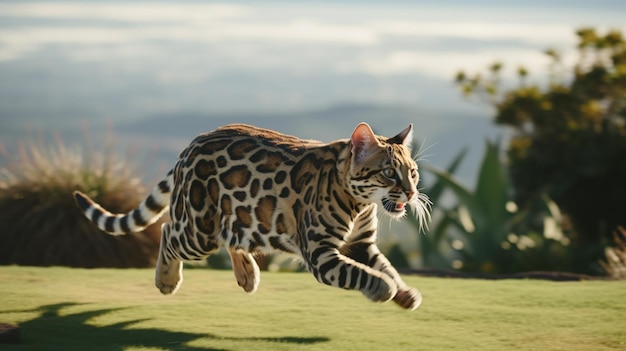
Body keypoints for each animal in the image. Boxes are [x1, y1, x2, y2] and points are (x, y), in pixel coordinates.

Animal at [73, 123, 428, 310]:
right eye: (389, 173)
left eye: (413, 172)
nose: (411, 193)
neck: (360, 204)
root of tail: (191, 145)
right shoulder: (321, 254)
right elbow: (361, 274)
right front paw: (383, 289)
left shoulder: (361, 245)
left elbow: (387, 267)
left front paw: (404, 292)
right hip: (198, 230)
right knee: (167, 232)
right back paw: (166, 279)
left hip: (242, 216)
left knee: (231, 235)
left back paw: (246, 274)